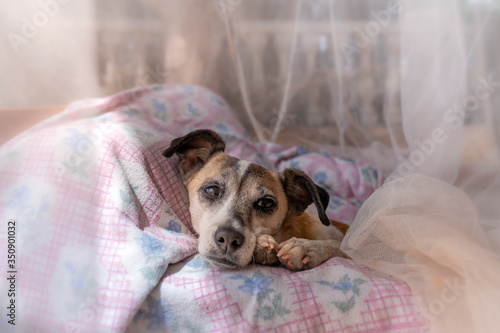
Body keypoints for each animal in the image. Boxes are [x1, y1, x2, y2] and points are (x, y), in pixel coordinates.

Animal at [164, 130, 348, 270]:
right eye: (212, 190)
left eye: (266, 203)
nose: (229, 238)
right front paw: (262, 243)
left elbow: (339, 247)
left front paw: (306, 247)